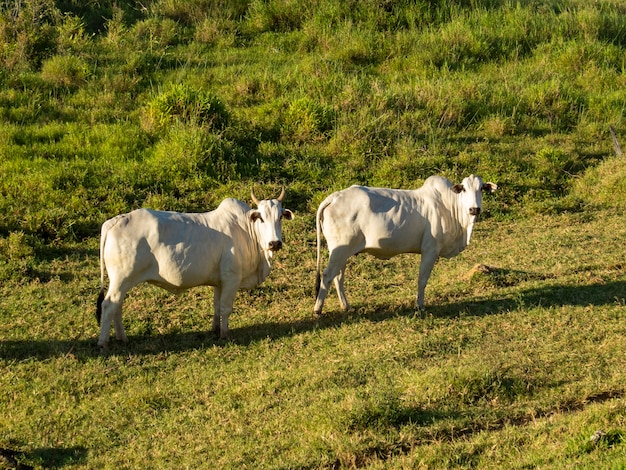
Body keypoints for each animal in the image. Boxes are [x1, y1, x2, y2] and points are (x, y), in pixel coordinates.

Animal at [96, 187, 294, 348]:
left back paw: (122, 338)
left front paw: (215, 329)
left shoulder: (219, 282)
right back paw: (103, 343)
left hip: (122, 282)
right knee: (108, 305)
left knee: (117, 306)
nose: (275, 243)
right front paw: (224, 335)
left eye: (280, 217)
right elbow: (225, 308)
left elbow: (216, 306)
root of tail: (116, 220)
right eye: (261, 218)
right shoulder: (231, 278)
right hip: (121, 279)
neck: (246, 230)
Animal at [314, 174, 494, 314]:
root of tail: (335, 197)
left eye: (481, 189)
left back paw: (345, 306)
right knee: (328, 275)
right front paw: (420, 305)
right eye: (464, 189)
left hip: (342, 252)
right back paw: (318, 309)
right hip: (339, 250)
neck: (450, 207)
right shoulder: (430, 250)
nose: (474, 209)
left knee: (338, 277)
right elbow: (422, 279)